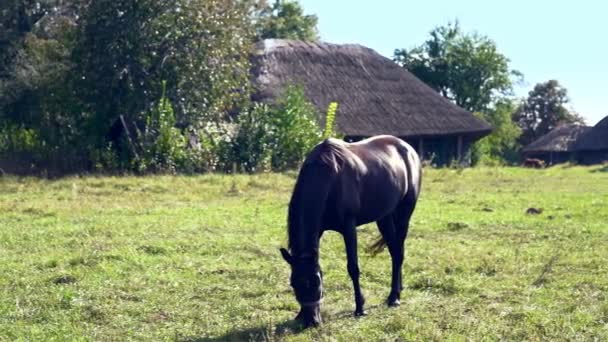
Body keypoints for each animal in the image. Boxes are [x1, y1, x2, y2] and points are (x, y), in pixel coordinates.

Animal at [280, 135, 422, 328]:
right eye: (293, 283)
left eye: (317, 281)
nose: (311, 321)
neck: (328, 177)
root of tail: (408, 148)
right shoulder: (318, 230)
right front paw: (299, 314)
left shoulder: (348, 227)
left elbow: (353, 267)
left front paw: (360, 308)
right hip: (384, 217)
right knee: (394, 251)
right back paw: (397, 290)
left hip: (404, 213)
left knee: (399, 253)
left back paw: (394, 298)